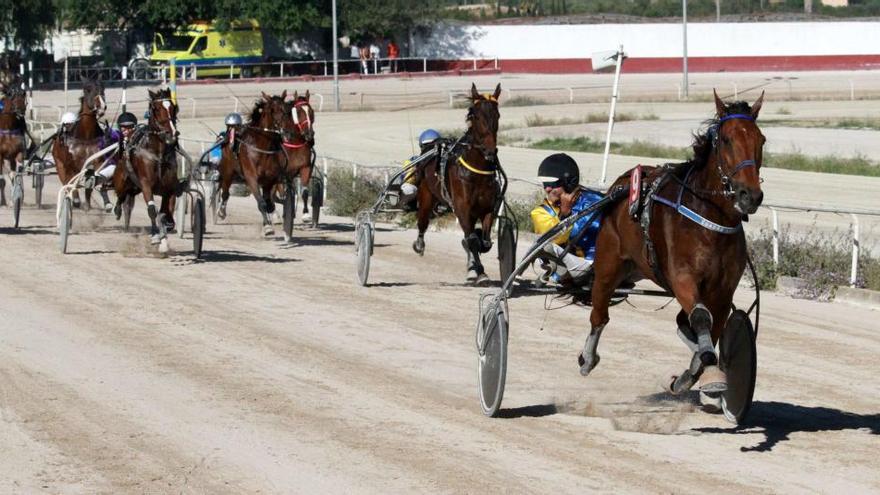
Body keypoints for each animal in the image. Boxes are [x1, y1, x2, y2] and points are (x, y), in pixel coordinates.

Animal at [51, 78, 107, 210]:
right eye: (88, 89)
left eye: (103, 88)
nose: (102, 107)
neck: (86, 135)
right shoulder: (71, 165)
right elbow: (72, 181)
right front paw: (76, 200)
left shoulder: (97, 160)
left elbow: (96, 178)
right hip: (59, 163)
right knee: (66, 181)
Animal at [113, 88, 182, 244]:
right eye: (156, 109)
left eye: (173, 108)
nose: (171, 133)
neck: (158, 154)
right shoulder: (146, 184)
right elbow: (152, 210)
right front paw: (156, 234)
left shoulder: (170, 187)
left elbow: (168, 212)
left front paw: (166, 226)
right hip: (122, 181)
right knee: (120, 195)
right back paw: (118, 210)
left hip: (134, 188)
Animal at [217, 91, 288, 238]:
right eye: (272, 110)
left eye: (285, 109)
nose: (284, 131)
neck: (262, 146)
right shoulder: (251, 177)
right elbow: (261, 202)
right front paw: (268, 227)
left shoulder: (270, 179)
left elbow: (269, 202)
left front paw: (270, 219)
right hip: (228, 171)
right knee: (225, 192)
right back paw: (221, 211)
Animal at [412, 83, 502, 284]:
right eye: (475, 116)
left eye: (497, 115)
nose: (490, 151)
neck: (476, 171)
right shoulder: (462, 206)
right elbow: (472, 239)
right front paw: (480, 272)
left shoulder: (487, 208)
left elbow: (484, 242)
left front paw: (478, 268)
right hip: (426, 195)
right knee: (422, 222)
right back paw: (419, 244)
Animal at [576, 89, 764, 400]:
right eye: (727, 139)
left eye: (761, 139)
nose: (750, 195)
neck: (710, 218)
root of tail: (622, 184)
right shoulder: (683, 277)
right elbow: (700, 319)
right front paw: (708, 373)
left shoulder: (723, 290)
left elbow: (710, 331)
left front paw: (694, 376)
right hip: (608, 264)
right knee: (599, 313)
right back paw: (587, 358)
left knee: (680, 324)